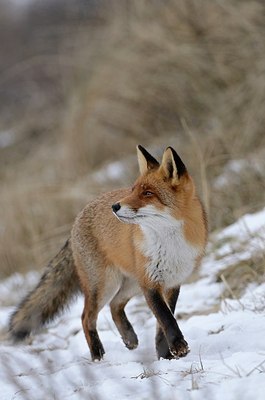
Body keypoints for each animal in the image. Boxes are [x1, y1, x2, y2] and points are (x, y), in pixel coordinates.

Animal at [8, 145, 206, 360]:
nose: (115, 206)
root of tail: (76, 221)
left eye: (147, 193)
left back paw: (129, 337)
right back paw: (97, 355)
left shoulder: (172, 283)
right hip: (105, 285)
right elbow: (166, 318)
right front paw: (177, 346)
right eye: (133, 190)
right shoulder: (150, 283)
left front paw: (165, 356)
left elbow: (162, 324)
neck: (170, 245)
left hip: (129, 284)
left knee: (114, 305)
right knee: (86, 317)